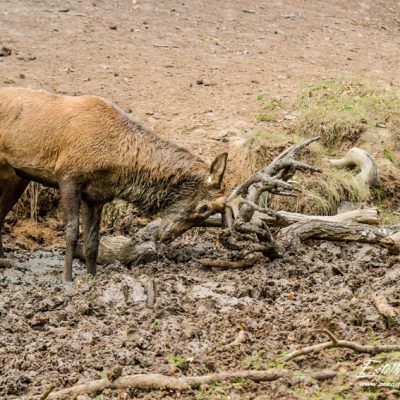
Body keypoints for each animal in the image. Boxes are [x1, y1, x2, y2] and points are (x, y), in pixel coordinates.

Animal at [0, 87, 227, 282]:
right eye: (204, 208)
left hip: (16, 176)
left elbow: (93, 240)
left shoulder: (96, 195)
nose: (167, 236)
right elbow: (72, 232)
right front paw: (67, 279)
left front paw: (92, 276)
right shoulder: (68, 176)